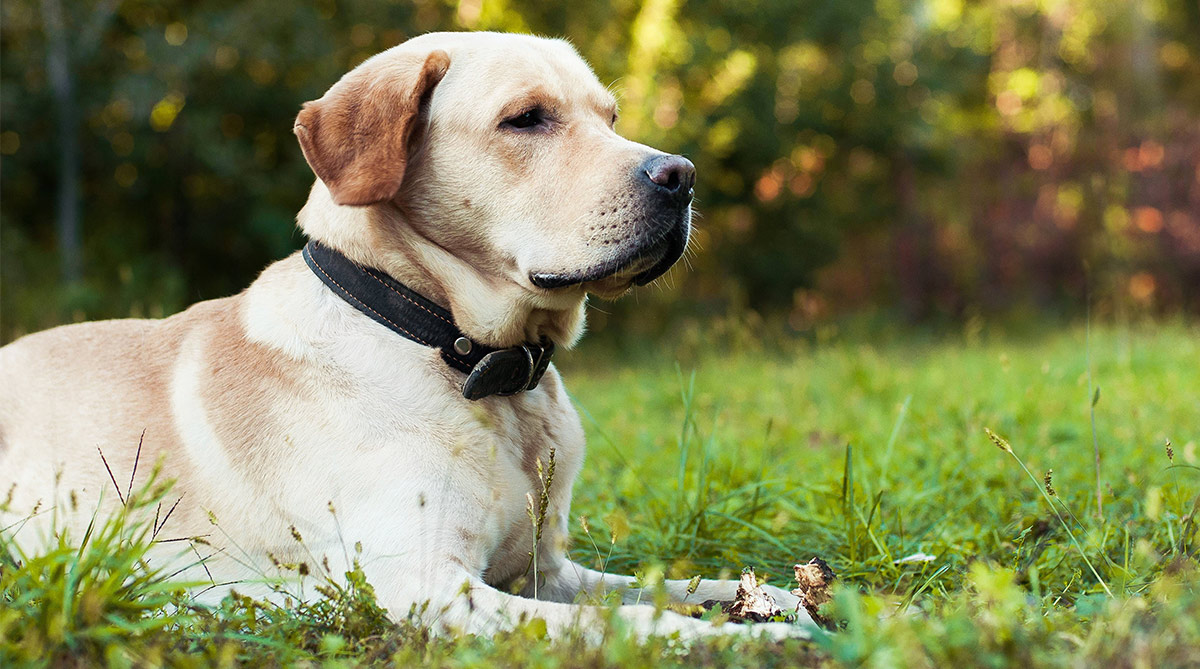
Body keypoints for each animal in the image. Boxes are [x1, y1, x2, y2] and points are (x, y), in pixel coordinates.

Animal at [2, 34, 806, 642]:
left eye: (609, 116)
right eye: (526, 119)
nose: (682, 176)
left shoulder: (546, 570)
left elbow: (669, 587)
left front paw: (771, 601)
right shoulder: (426, 584)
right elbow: (634, 622)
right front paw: (749, 642)